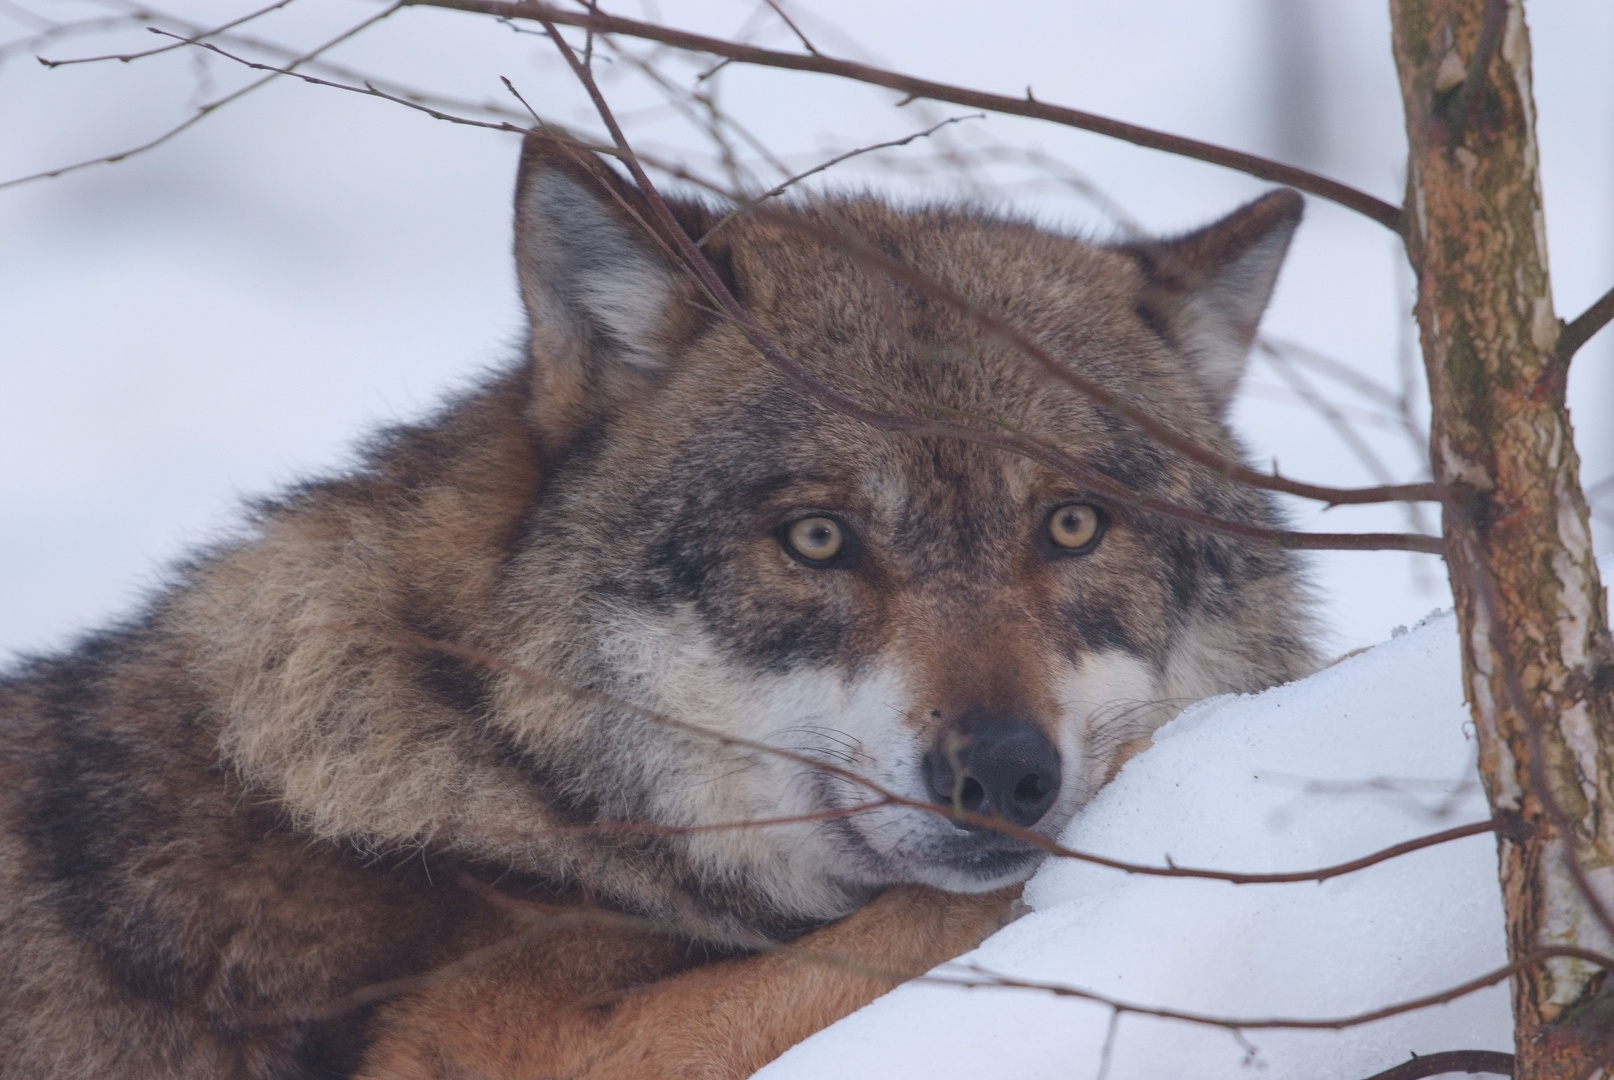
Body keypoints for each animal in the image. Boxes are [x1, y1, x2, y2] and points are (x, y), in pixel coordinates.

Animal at [0, 134, 1310, 1078]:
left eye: (1073, 526)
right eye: (818, 540)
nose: (1003, 772)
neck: (491, 745)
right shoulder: (517, 1042)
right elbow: (913, 926)